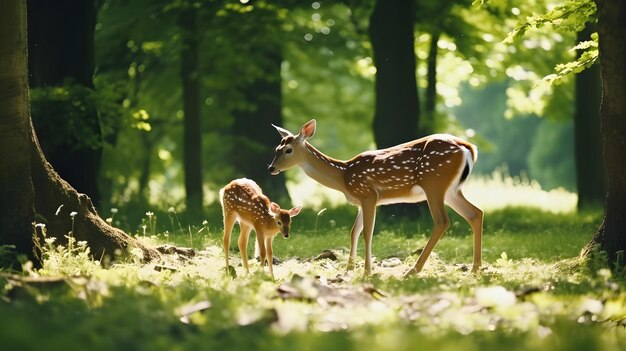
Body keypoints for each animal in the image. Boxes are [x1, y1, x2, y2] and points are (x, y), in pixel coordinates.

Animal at [266, 121, 480, 278]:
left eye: (288, 150)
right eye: (276, 148)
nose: (270, 168)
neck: (343, 176)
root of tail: (469, 148)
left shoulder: (368, 194)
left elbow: (367, 232)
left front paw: (367, 271)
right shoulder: (361, 200)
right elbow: (354, 231)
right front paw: (349, 269)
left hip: (434, 183)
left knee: (442, 221)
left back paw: (412, 271)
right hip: (451, 190)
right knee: (475, 213)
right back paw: (475, 269)